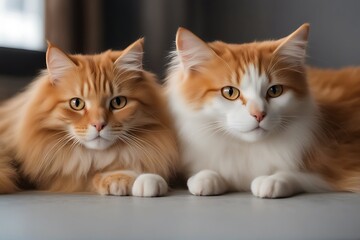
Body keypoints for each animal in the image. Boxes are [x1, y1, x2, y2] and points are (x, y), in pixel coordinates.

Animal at [0, 39, 179, 197]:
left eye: (118, 102)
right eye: (76, 103)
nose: (99, 124)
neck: (96, 157)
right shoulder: (60, 177)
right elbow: (90, 176)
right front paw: (121, 179)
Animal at [166, 23, 360, 198]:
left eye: (274, 91)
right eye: (230, 92)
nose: (259, 114)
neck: (247, 149)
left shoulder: (335, 167)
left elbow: (298, 175)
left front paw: (270, 180)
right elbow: (208, 174)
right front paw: (206, 177)